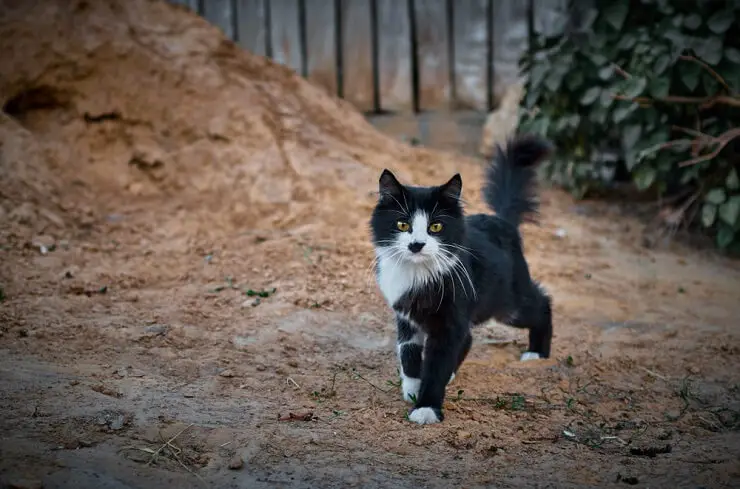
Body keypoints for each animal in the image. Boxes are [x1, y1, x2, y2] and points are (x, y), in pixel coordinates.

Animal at [370, 133, 556, 424]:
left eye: (435, 226)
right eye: (402, 224)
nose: (416, 245)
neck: (418, 274)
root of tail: (501, 220)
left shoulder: (449, 320)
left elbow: (436, 366)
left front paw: (426, 407)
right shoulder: (405, 313)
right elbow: (408, 352)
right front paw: (412, 387)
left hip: (507, 303)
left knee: (542, 302)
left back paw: (538, 352)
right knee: (468, 337)